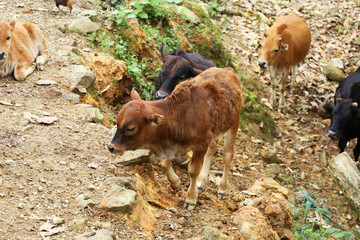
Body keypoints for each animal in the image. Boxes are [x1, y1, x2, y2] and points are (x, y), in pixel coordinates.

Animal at [107, 67, 242, 210]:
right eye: (117, 121)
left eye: (131, 128)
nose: (111, 147)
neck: (179, 116)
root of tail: (227, 70)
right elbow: (165, 164)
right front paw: (176, 183)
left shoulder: (201, 144)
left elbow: (193, 170)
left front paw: (191, 199)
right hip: (216, 131)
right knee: (212, 150)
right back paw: (201, 182)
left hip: (234, 124)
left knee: (227, 156)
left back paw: (222, 188)